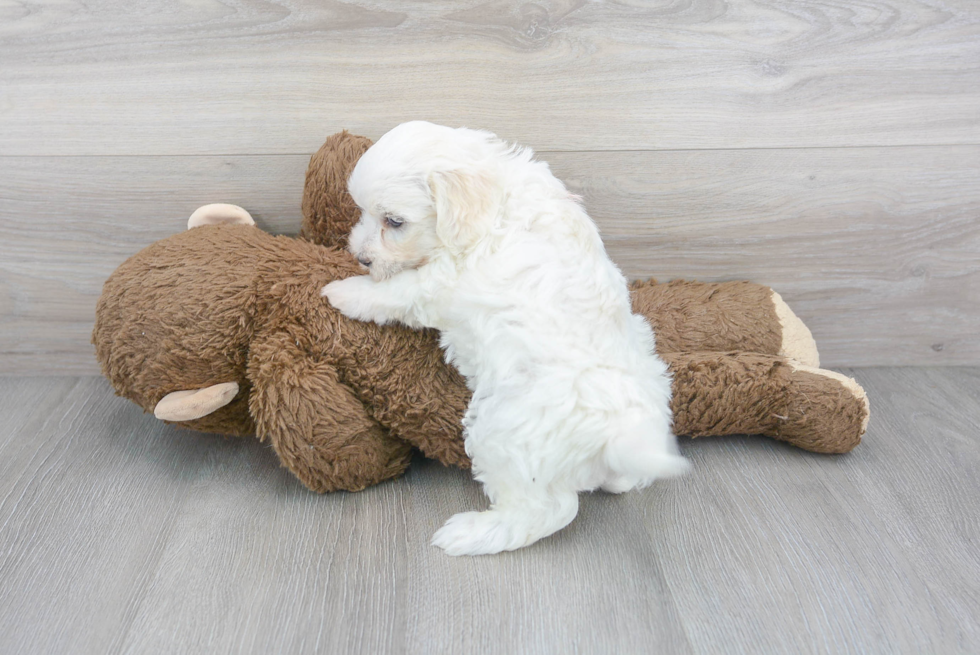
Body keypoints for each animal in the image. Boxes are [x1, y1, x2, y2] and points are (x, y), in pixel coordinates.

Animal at [324, 121, 688, 552]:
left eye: (394, 222)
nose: (360, 257)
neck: (494, 205)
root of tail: (618, 437)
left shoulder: (440, 282)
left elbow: (394, 291)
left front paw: (342, 291)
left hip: (504, 434)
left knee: (550, 510)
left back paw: (469, 534)